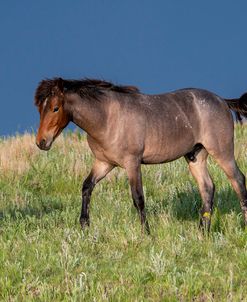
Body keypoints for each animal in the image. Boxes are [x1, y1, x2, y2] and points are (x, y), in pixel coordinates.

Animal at [34, 78, 247, 234]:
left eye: (55, 108)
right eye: (39, 108)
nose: (41, 142)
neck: (108, 119)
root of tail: (222, 101)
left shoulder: (132, 163)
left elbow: (138, 198)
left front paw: (146, 233)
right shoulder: (104, 163)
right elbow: (87, 187)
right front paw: (84, 225)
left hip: (222, 152)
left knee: (238, 180)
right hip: (195, 157)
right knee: (207, 188)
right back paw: (202, 232)